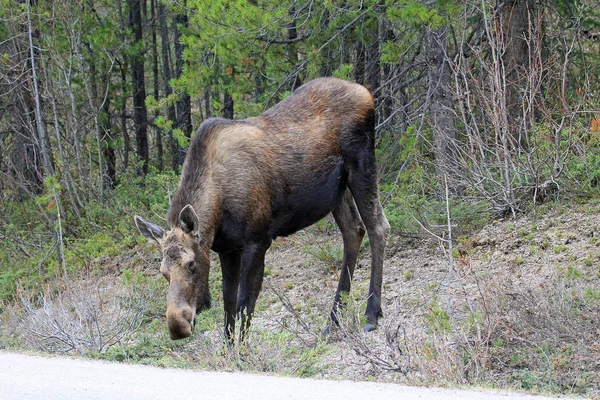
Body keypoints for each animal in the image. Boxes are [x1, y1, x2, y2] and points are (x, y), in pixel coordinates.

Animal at [134, 78, 392, 344]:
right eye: (163, 272)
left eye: (191, 263)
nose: (178, 326)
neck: (217, 211)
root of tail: (367, 93)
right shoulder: (227, 249)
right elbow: (228, 305)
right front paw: (229, 350)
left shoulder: (257, 240)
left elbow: (245, 303)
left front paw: (243, 350)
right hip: (337, 191)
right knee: (353, 230)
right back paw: (333, 322)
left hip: (361, 163)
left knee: (378, 227)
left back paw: (371, 314)